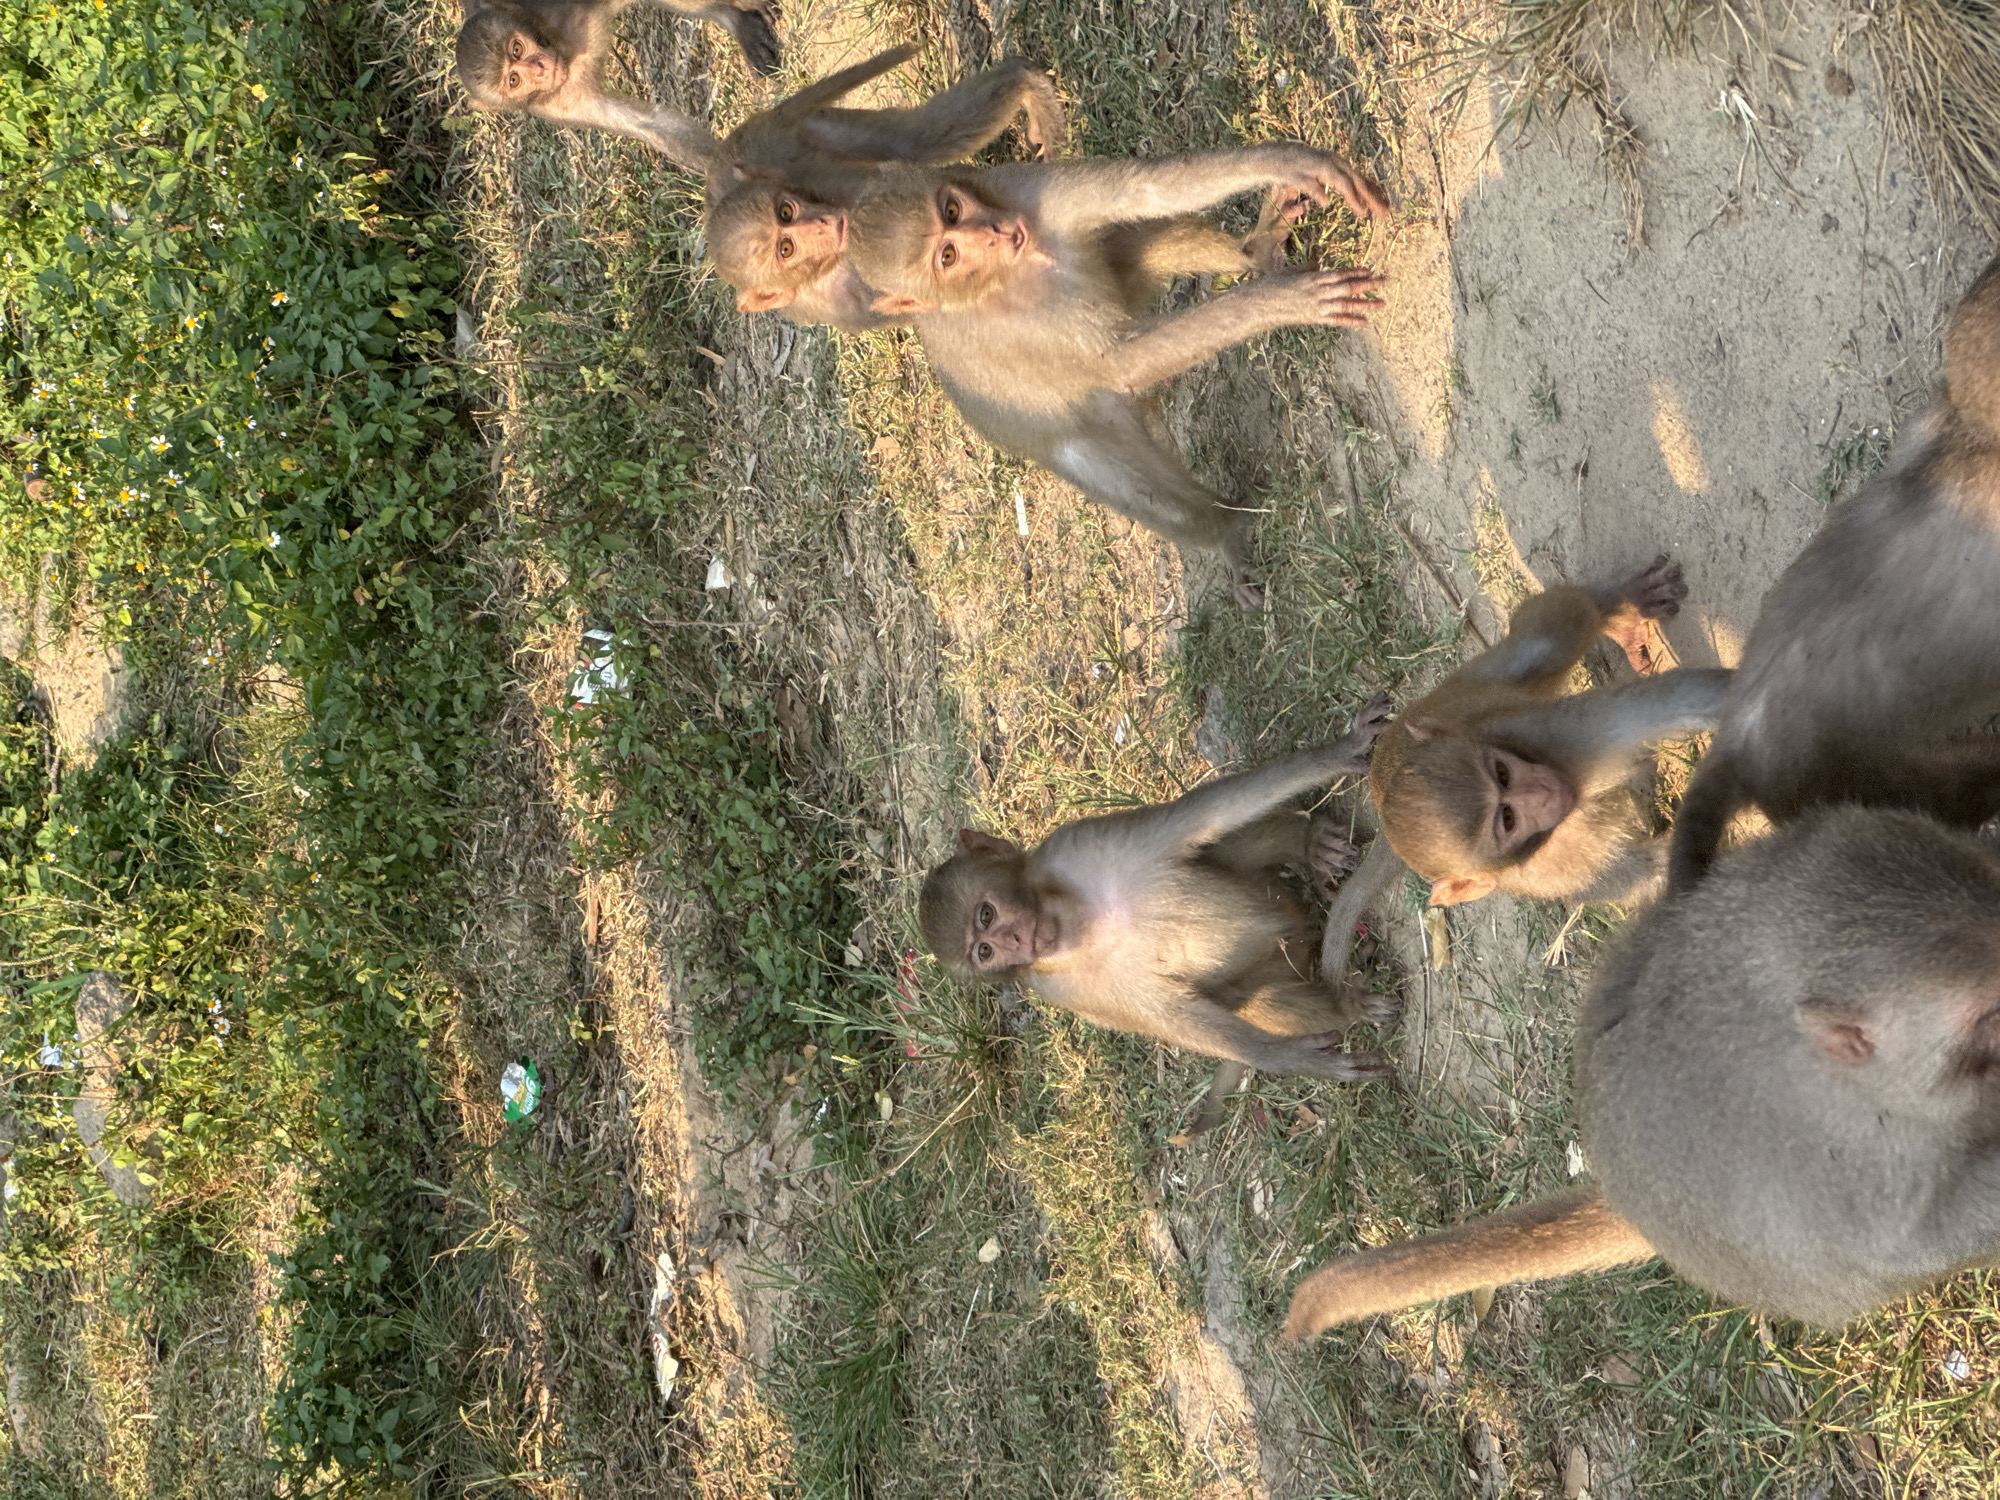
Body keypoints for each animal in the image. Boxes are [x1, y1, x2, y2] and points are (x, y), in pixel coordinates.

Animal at [458, 0, 782, 157]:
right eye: (514, 80)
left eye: (517, 48)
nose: (540, 68)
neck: (563, 51)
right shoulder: (561, 104)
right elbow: (646, 124)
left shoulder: (552, 9)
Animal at [845, 147, 1389, 606]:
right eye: (949, 256)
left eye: (952, 210)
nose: (996, 234)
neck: (1011, 274)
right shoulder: (1016, 337)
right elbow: (1124, 364)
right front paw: (1285, 301)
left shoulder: (1017, 188)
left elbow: (1145, 190)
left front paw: (1293, 162)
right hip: (1082, 437)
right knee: (1155, 495)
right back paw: (1225, 533)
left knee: (1133, 240)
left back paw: (1256, 253)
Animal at [919, 698, 1406, 1116]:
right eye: (984, 952)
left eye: (987, 914)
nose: (1016, 941)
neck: (1079, 923)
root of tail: (1302, 935)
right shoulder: (1065, 992)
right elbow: (1176, 1017)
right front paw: (1297, 1060)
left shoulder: (1077, 843)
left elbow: (1205, 816)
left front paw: (1341, 751)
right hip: (1274, 970)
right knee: (1258, 1001)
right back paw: (1344, 1006)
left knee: (1218, 845)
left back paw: (1307, 845)